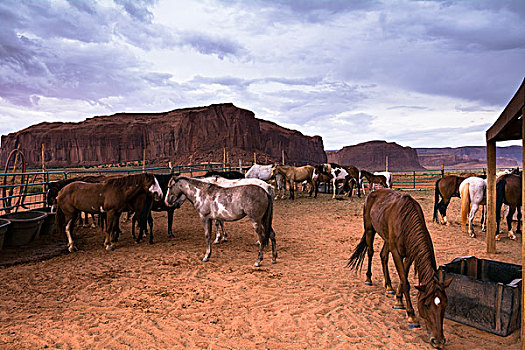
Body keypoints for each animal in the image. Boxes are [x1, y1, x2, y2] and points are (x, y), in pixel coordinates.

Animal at [348, 189, 450, 348]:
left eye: (445, 305)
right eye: (426, 305)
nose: (438, 341)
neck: (406, 220)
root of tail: (372, 193)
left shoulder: (410, 254)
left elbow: (403, 279)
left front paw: (398, 299)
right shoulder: (397, 252)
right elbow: (405, 282)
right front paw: (411, 315)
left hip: (386, 239)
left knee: (383, 256)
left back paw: (389, 286)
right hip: (370, 229)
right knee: (370, 252)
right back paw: (368, 278)